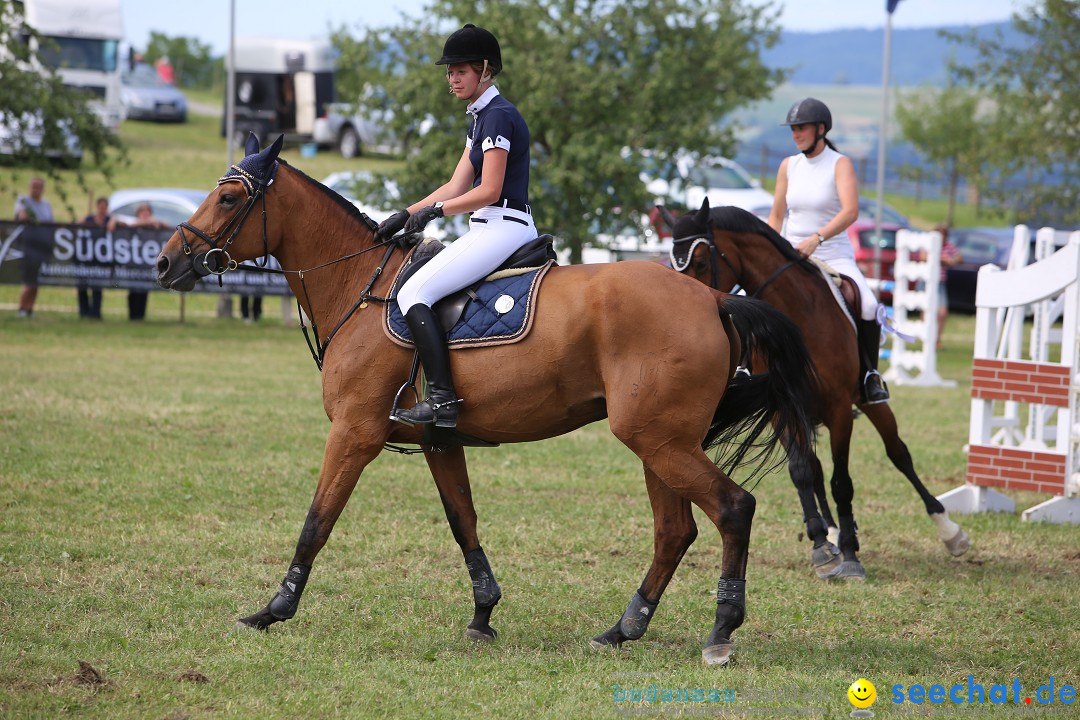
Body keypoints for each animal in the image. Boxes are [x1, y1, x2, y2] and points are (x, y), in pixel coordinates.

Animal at [154, 134, 816, 664]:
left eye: (230, 199)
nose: (164, 262)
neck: (361, 286)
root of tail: (713, 299)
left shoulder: (354, 432)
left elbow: (316, 522)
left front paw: (273, 610)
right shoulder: (438, 440)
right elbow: (462, 521)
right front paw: (482, 614)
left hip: (657, 439)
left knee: (732, 509)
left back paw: (721, 632)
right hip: (661, 441)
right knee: (674, 531)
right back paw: (622, 629)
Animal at [660, 199, 976, 582]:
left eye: (702, 263)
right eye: (671, 265)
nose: (684, 322)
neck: (799, 314)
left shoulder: (840, 410)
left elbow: (843, 481)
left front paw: (851, 557)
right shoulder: (781, 409)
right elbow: (801, 471)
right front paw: (822, 546)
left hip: (869, 403)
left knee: (898, 453)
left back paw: (949, 532)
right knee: (816, 468)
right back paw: (835, 532)